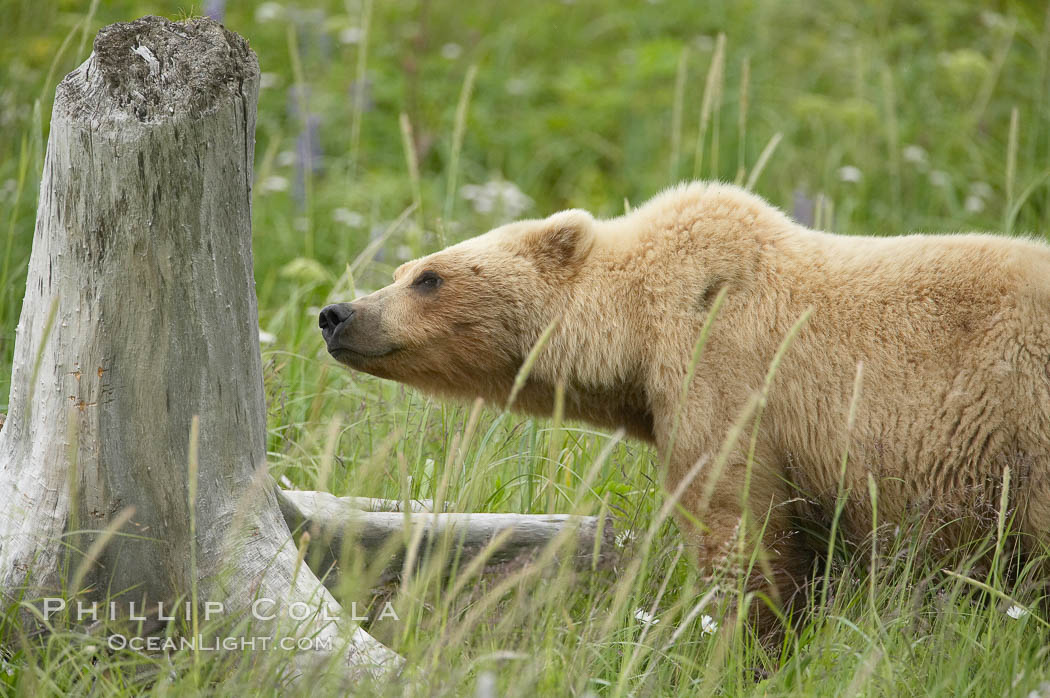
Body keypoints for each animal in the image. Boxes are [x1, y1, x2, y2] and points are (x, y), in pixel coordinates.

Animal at [315, 182, 1050, 621]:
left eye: (429, 277)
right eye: (401, 271)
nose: (336, 313)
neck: (639, 336)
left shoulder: (725, 381)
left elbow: (738, 530)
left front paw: (737, 642)